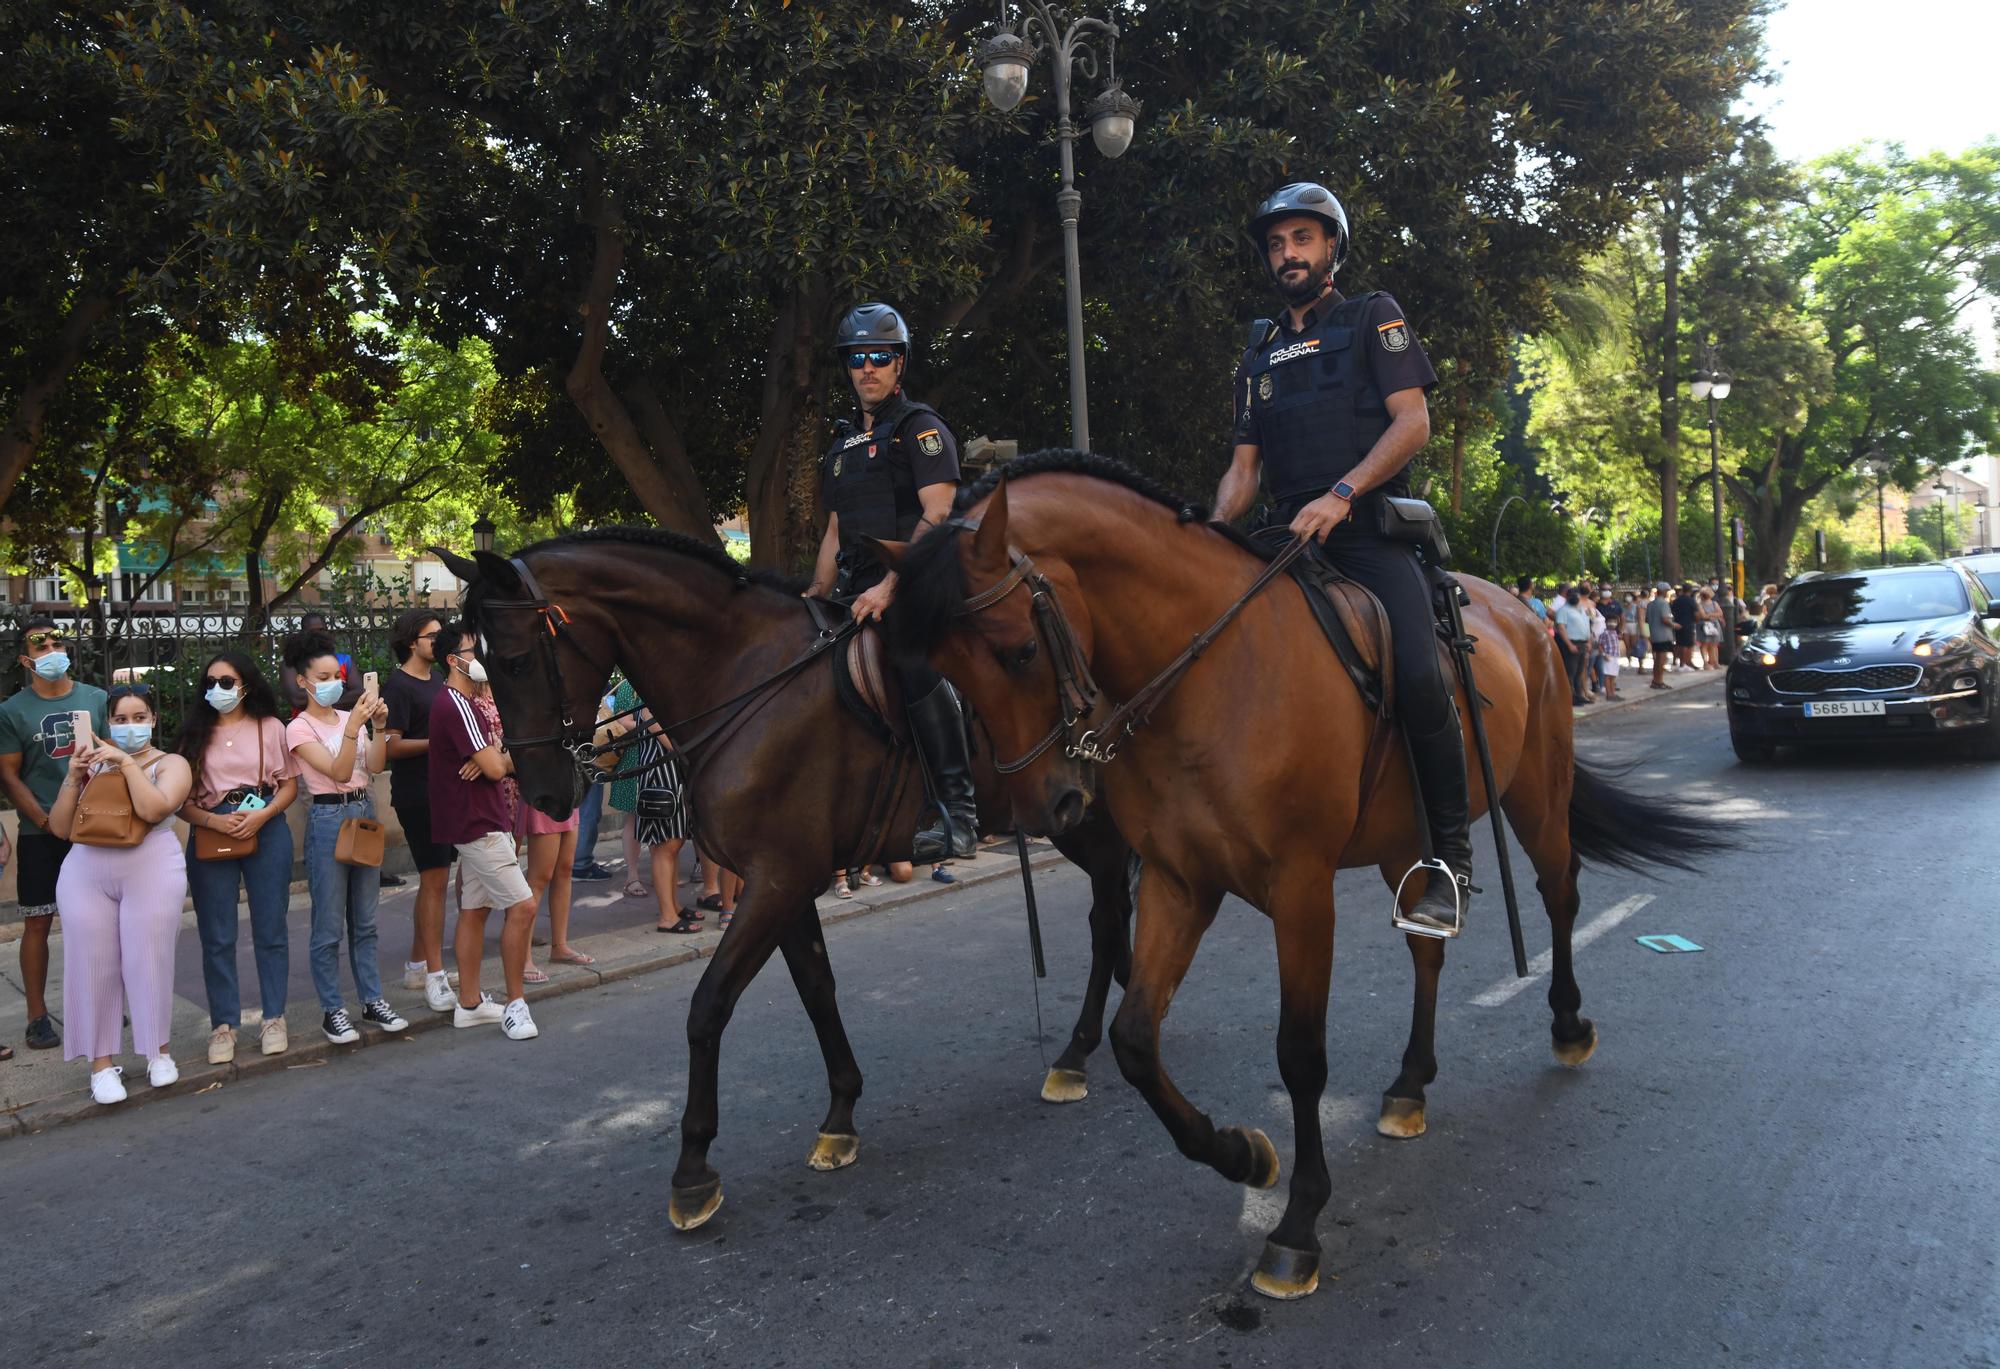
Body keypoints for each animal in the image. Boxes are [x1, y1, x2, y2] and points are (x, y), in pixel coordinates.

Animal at [440, 532, 1144, 1232]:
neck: (743, 677)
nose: (543, 795)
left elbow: (709, 1006)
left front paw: (693, 1170)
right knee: (1113, 902)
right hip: (1075, 815)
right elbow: (816, 991)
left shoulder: (776, 881)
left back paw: (1079, 1050)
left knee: (1112, 906)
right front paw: (841, 1118)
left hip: (1082, 812)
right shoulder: (784, 881)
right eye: (486, 667)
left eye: (516, 662)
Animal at [884, 454, 1728, 1296]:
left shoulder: (1301, 890)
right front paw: (1242, 1153)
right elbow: (1135, 1039)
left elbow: (1299, 1052)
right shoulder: (1177, 881)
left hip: (1535, 793)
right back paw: (1410, 1082)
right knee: (1427, 947)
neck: (1209, 676)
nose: (1048, 803)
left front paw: (1296, 1224)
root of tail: (1518, 610)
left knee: (1561, 892)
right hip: (1401, 841)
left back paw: (1567, 1024)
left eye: (1017, 650)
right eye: (943, 672)